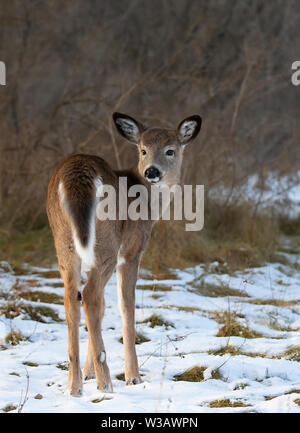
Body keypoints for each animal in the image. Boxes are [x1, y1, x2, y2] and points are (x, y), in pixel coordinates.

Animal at [47, 111, 202, 394]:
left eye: (170, 150)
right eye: (143, 149)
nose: (152, 171)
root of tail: (75, 175)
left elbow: (104, 308)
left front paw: (88, 373)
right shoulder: (132, 252)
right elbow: (126, 307)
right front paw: (133, 376)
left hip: (63, 241)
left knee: (72, 297)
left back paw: (75, 384)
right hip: (106, 241)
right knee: (90, 295)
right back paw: (106, 382)